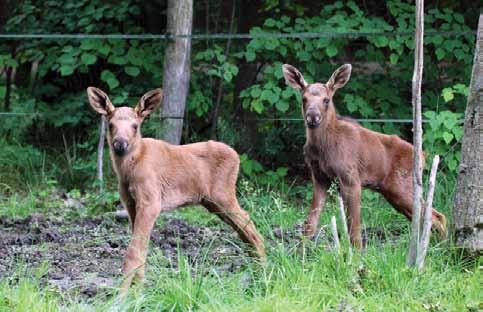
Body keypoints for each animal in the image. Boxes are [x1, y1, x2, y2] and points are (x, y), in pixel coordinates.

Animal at [89, 86, 266, 292]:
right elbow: (141, 250)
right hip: (213, 203)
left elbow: (134, 252)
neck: (127, 171)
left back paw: (264, 275)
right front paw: (138, 291)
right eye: (110, 125)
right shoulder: (130, 204)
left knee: (252, 229)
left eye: (135, 126)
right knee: (244, 231)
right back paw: (256, 275)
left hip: (223, 195)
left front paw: (122, 295)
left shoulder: (151, 201)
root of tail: (237, 156)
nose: (120, 144)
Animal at [282, 63, 448, 249]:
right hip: (393, 192)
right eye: (304, 99)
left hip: (400, 186)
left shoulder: (351, 178)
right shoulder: (319, 178)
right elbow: (309, 224)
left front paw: (356, 254)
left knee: (437, 216)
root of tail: (424, 155)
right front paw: (299, 252)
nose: (312, 117)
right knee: (425, 217)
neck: (322, 148)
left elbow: (354, 228)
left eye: (326, 100)